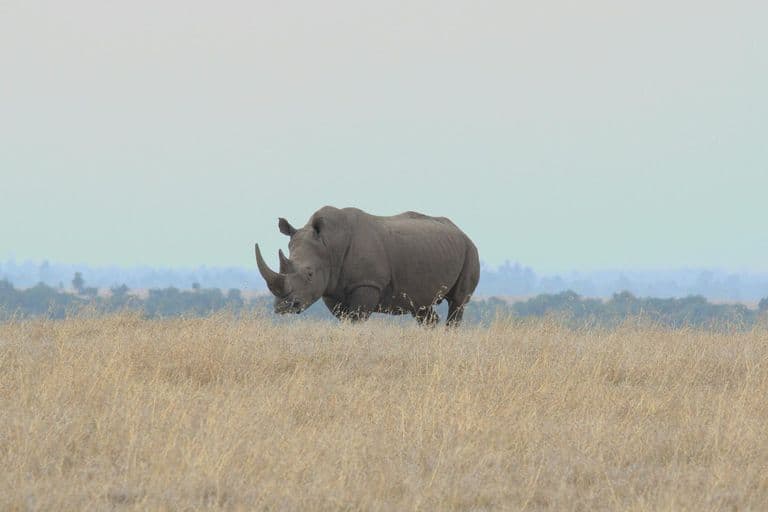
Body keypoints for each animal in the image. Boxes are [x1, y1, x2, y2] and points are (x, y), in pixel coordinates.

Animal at [254, 206, 479, 326]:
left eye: (310, 274)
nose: (283, 308)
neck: (328, 245)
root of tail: (461, 231)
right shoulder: (332, 288)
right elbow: (345, 319)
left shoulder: (367, 283)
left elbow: (356, 319)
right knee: (422, 308)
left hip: (470, 250)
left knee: (458, 302)